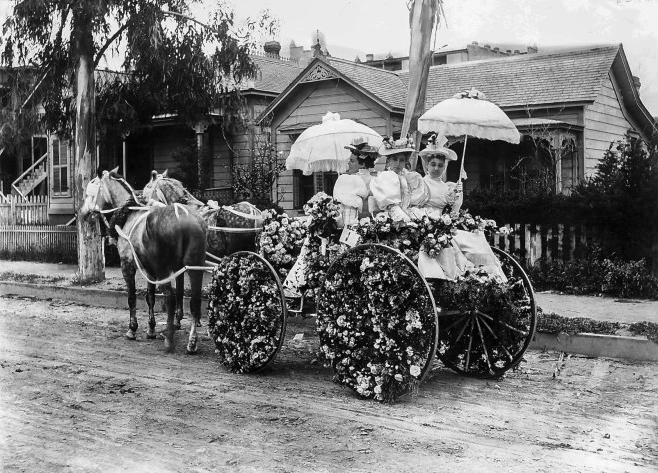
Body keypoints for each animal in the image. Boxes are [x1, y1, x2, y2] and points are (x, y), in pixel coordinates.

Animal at [80, 171, 206, 354]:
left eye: (91, 191)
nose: (82, 213)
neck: (129, 214)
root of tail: (183, 218)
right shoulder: (149, 270)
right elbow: (150, 297)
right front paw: (151, 329)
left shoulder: (127, 265)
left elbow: (132, 297)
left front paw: (132, 329)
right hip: (195, 267)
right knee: (195, 302)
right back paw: (192, 343)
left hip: (164, 269)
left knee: (170, 298)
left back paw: (169, 341)